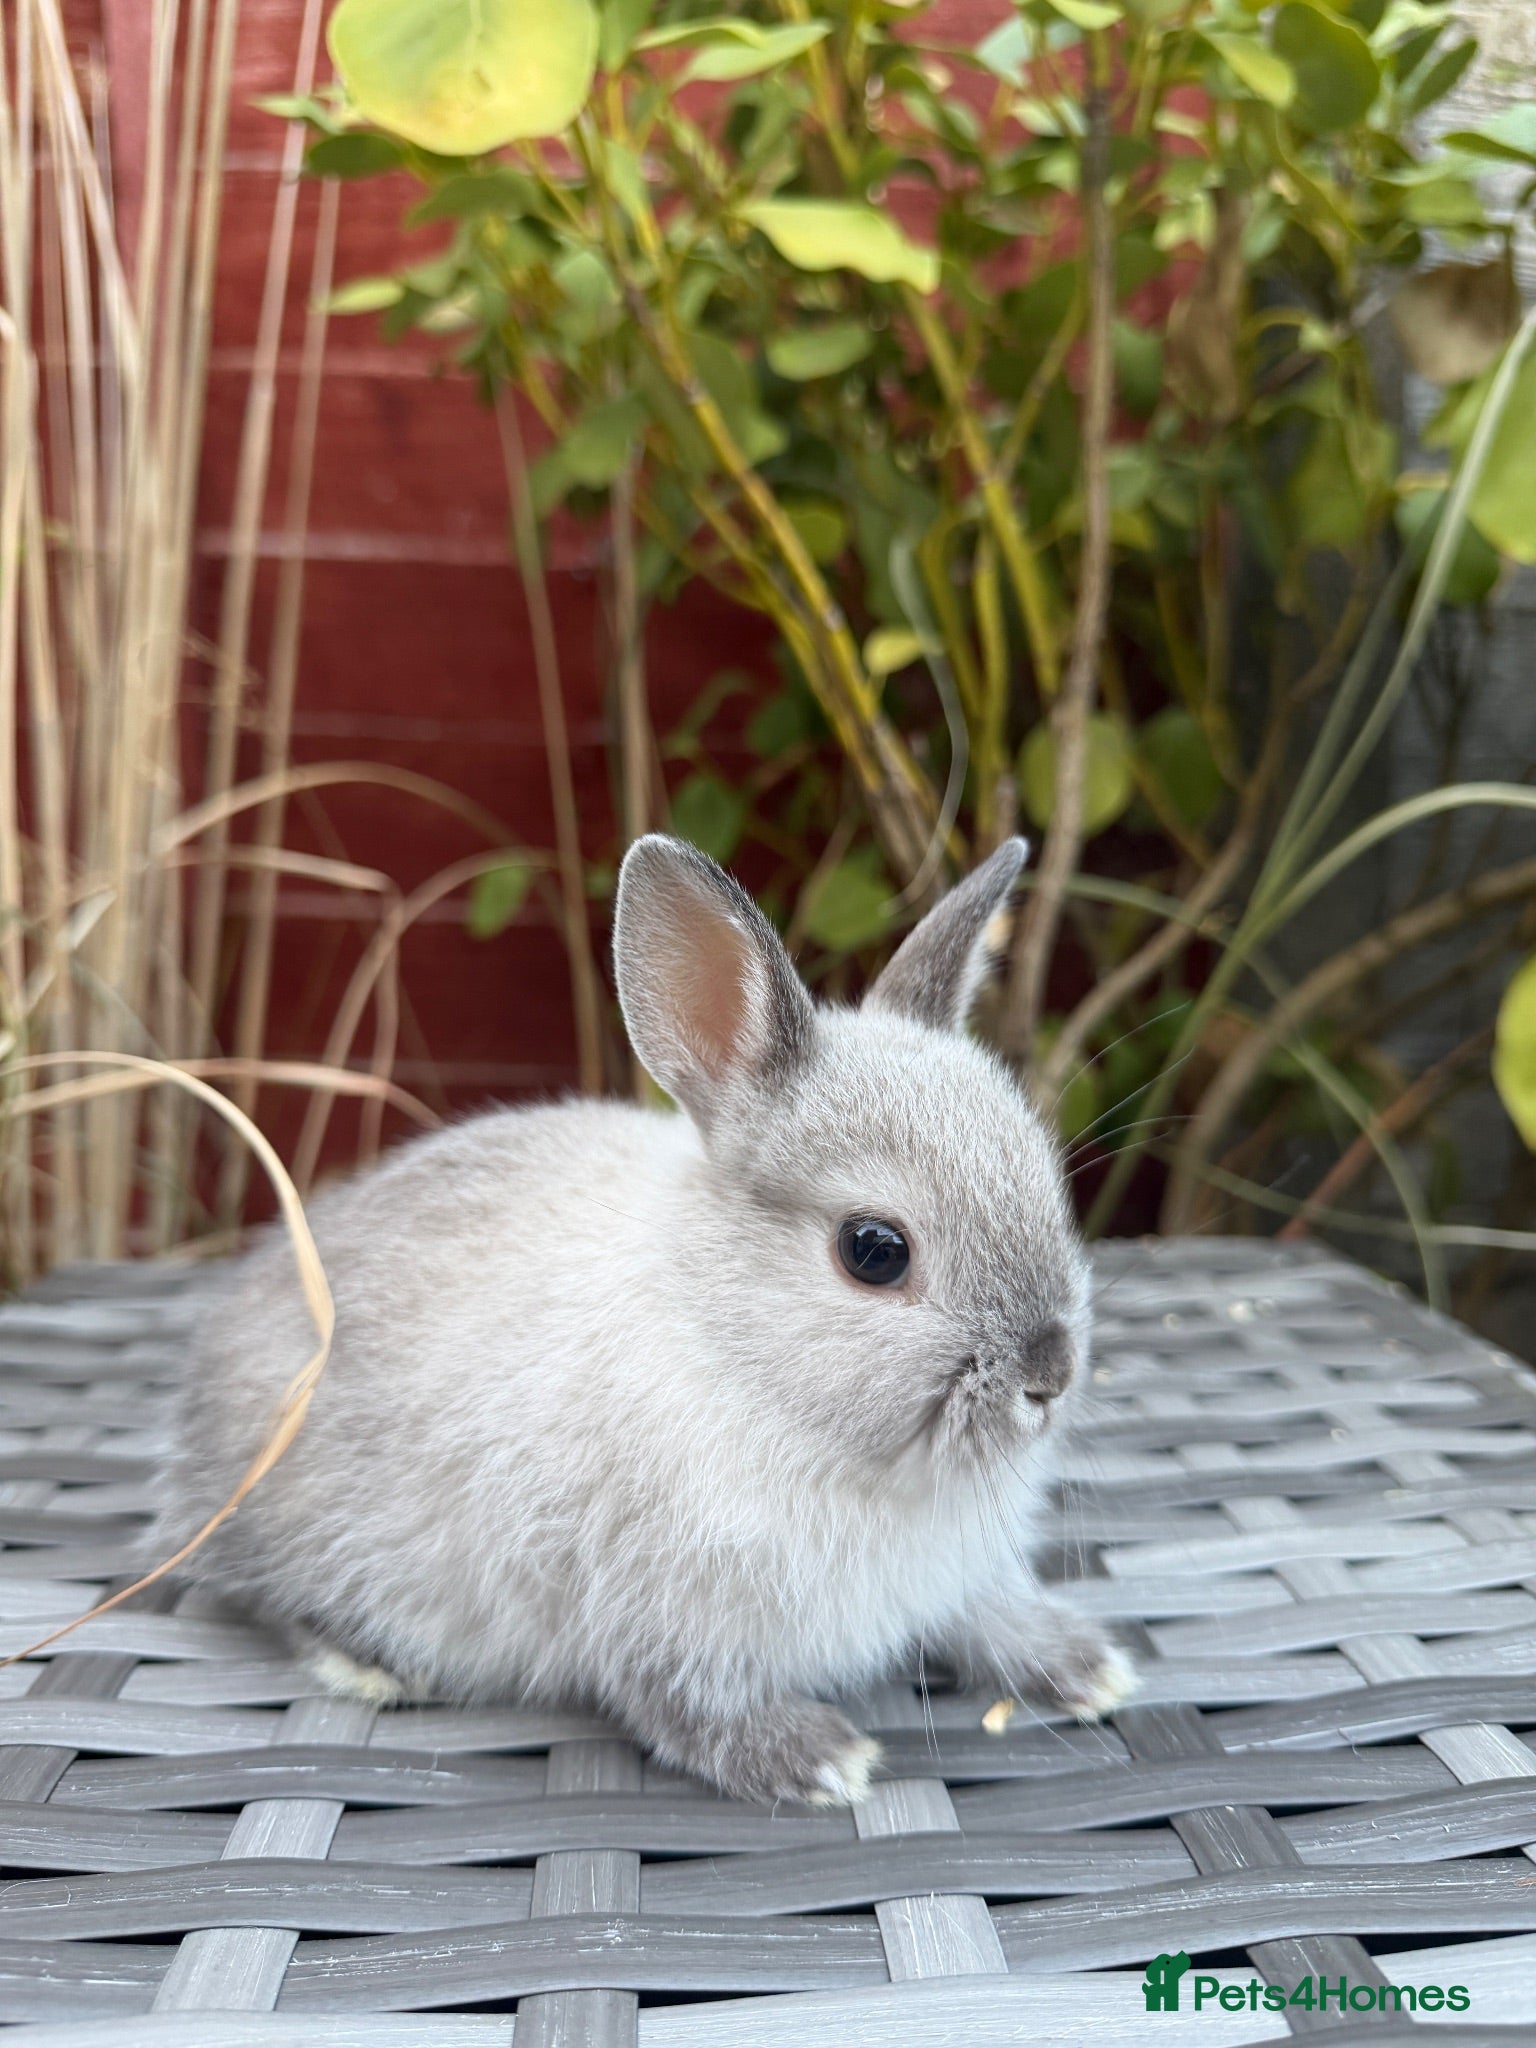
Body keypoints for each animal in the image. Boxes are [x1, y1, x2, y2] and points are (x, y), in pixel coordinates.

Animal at [159, 833, 1135, 1805]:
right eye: (873, 1250)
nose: (1049, 1377)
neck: (740, 1356)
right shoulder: (654, 1613)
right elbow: (683, 1703)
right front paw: (816, 1759)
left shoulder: (963, 1574)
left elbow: (993, 1614)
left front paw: (1087, 1669)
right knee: (257, 1593)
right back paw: (371, 1668)